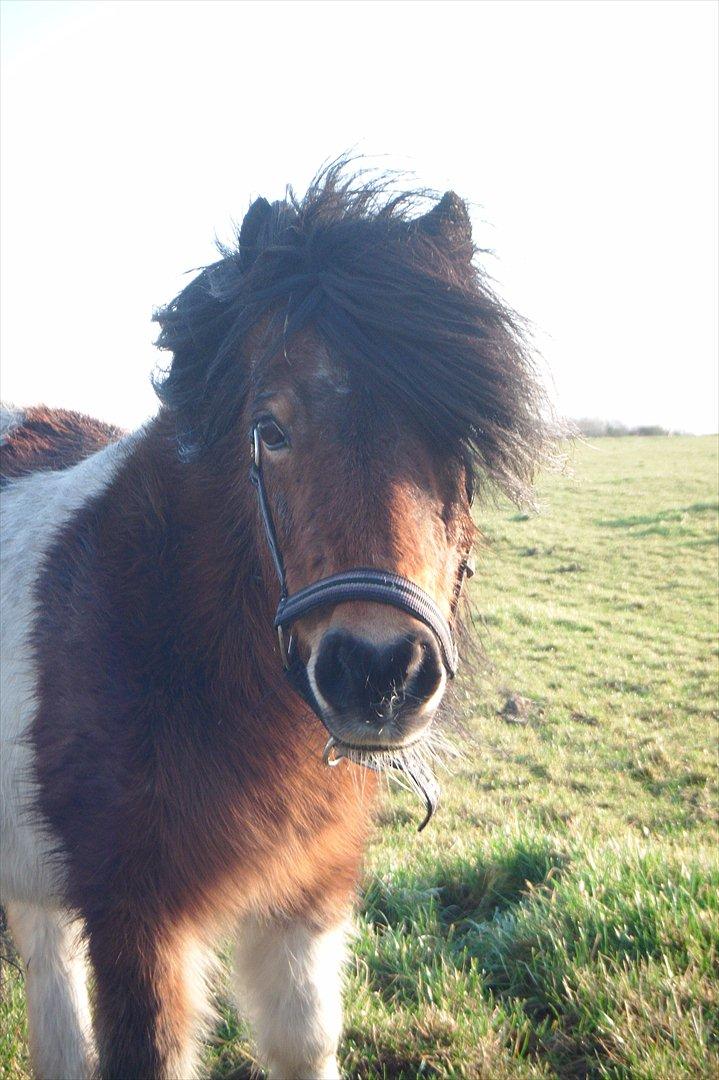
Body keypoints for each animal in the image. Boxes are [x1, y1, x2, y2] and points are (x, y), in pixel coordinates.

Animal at [0, 168, 544, 1080]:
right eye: (271, 429)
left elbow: (303, 1044)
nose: (379, 675)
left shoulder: (305, 906)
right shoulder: (137, 924)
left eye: (459, 440)